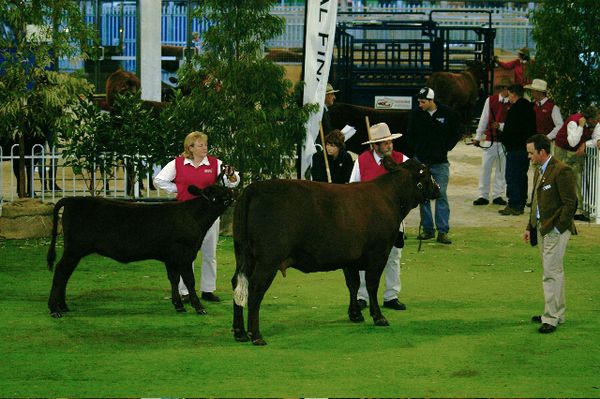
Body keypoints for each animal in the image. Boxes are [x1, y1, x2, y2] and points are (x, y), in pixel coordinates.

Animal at [46, 184, 234, 318]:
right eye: (217, 190)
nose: (233, 190)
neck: (193, 217)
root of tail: (72, 199)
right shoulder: (185, 254)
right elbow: (189, 280)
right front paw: (199, 307)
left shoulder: (171, 258)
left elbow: (173, 279)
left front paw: (178, 305)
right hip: (74, 249)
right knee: (61, 271)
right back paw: (55, 309)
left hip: (74, 250)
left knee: (65, 274)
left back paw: (63, 306)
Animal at [232, 158, 438, 346]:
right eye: (427, 173)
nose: (437, 189)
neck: (390, 197)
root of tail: (252, 189)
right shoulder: (379, 253)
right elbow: (371, 285)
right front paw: (378, 317)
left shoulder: (350, 258)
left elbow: (353, 284)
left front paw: (355, 314)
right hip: (268, 259)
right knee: (255, 288)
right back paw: (256, 335)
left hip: (244, 255)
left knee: (237, 284)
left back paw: (239, 332)